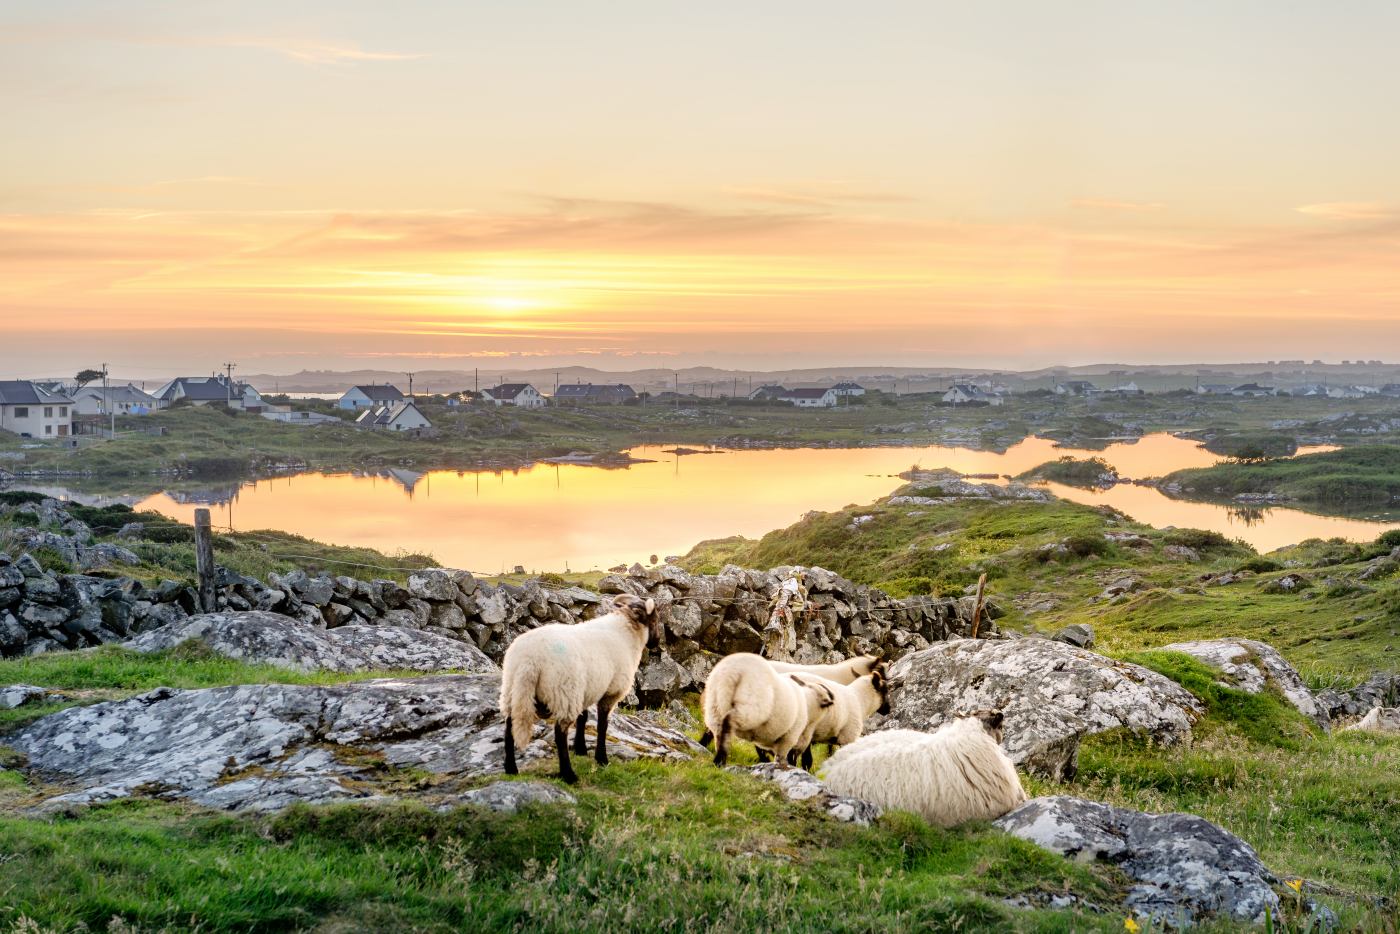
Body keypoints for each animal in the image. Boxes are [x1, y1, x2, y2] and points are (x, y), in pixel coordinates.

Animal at [500, 593, 661, 784]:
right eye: (655, 620)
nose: (657, 642)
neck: (627, 632)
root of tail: (529, 659)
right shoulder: (610, 692)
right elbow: (602, 725)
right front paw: (601, 759)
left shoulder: (585, 690)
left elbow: (583, 718)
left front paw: (580, 748)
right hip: (564, 692)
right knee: (560, 733)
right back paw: (568, 774)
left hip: (513, 690)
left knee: (509, 728)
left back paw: (511, 768)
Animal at [702, 652, 835, 768]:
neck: (807, 703)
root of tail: (734, 670)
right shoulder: (788, 738)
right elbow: (784, 757)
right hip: (752, 705)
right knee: (729, 721)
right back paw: (720, 760)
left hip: (715, 704)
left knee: (717, 731)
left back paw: (719, 760)